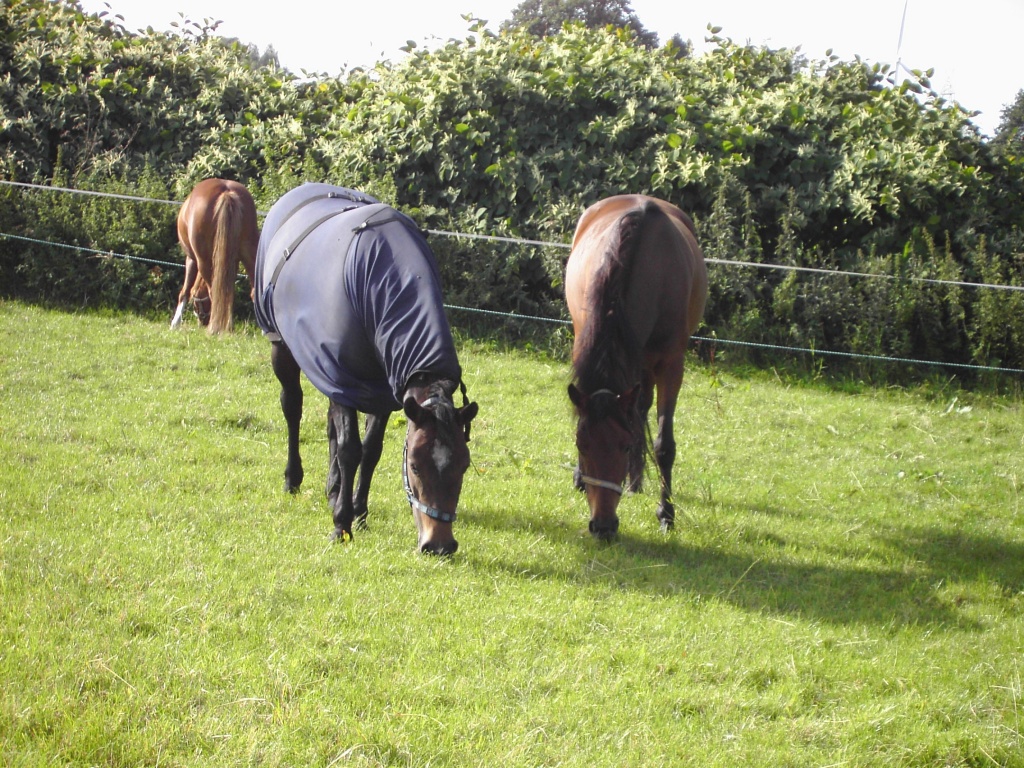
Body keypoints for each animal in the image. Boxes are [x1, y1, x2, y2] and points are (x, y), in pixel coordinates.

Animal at [171, 178, 259, 333]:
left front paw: (175, 323)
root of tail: (226, 191)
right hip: (249, 254)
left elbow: (185, 290)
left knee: (215, 292)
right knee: (253, 292)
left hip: (204, 261)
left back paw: (216, 327)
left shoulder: (191, 259)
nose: (202, 321)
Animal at [253, 183, 478, 555]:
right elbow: (350, 450)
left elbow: (370, 451)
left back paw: (333, 489)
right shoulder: (343, 378)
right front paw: (341, 524)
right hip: (283, 348)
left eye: (464, 465)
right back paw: (293, 479)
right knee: (293, 408)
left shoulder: (381, 391)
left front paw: (358, 511)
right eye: (415, 466)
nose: (439, 545)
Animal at [565, 194, 708, 539]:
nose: (602, 526)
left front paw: (666, 514)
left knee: (641, 409)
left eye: (624, 446)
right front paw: (580, 476)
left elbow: (664, 445)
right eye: (581, 444)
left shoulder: (671, 365)